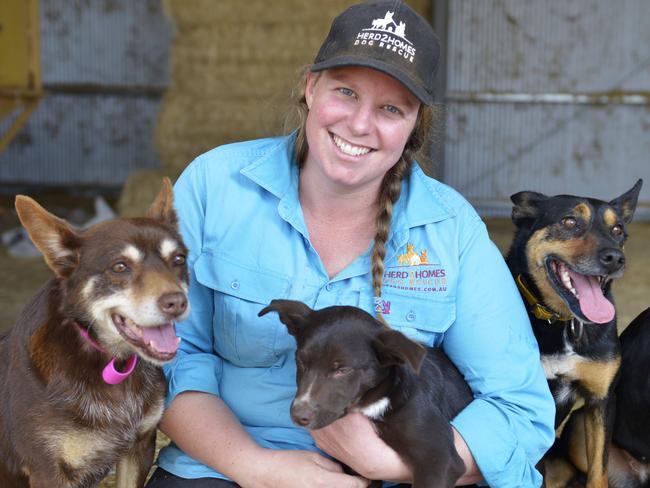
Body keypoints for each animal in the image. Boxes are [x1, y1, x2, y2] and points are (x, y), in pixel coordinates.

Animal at [1, 180, 190, 488]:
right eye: (120, 266)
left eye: (178, 259)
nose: (177, 303)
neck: (112, 362)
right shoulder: (47, 470)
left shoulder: (138, 449)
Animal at [504, 180, 640, 488]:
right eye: (569, 221)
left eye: (618, 230)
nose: (616, 258)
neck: (565, 323)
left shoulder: (601, 401)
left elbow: (599, 472)